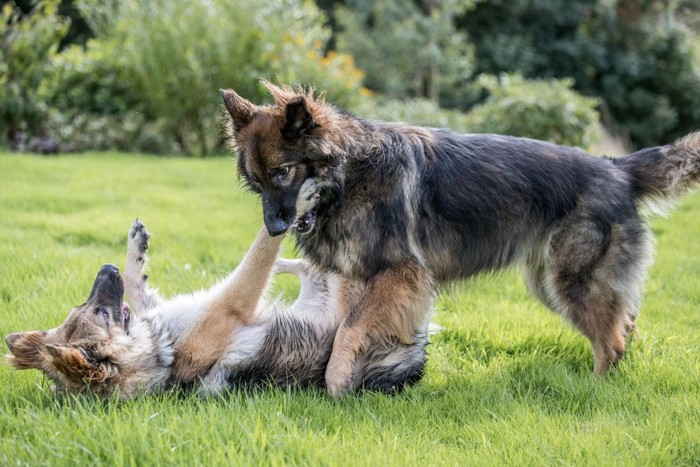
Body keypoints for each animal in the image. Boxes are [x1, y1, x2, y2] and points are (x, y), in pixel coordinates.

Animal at [8, 208, 430, 398]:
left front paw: (134, 251)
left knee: (309, 267)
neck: (159, 354)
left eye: (82, 307)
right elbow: (258, 251)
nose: (105, 267)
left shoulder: (160, 307)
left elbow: (137, 288)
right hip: (352, 291)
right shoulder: (232, 303)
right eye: (97, 311)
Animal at [220, 82, 700, 396]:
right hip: (548, 283)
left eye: (284, 172)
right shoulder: (364, 277)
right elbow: (346, 327)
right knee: (625, 324)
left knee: (612, 341)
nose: (275, 230)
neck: (351, 172)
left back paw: (597, 390)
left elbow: (351, 328)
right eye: (255, 182)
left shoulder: (402, 274)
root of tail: (617, 169)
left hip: (572, 282)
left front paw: (336, 383)